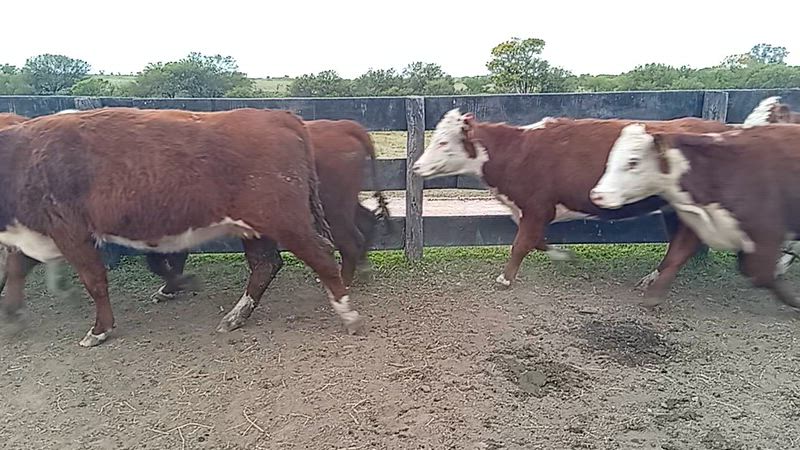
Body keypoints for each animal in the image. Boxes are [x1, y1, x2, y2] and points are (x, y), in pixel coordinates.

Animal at [0, 107, 363, 347]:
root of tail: (279, 116)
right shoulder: (35, 234)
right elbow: (16, 270)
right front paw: (12, 316)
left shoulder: (71, 233)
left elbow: (95, 282)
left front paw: (100, 330)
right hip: (256, 228)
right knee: (266, 265)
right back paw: (235, 317)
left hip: (286, 221)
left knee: (322, 255)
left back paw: (348, 315)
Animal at [410, 108, 779, 303]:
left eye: (443, 142)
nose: (415, 167)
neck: (518, 151)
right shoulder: (536, 211)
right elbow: (537, 241)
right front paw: (563, 255)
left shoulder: (537, 206)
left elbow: (521, 244)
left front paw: (504, 279)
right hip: (674, 209)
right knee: (679, 243)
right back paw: (651, 279)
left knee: (683, 246)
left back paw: (654, 289)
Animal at [589, 123, 800, 309]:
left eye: (633, 161)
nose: (597, 194)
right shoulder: (697, 223)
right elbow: (676, 255)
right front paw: (653, 295)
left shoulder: (765, 233)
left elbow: (760, 273)